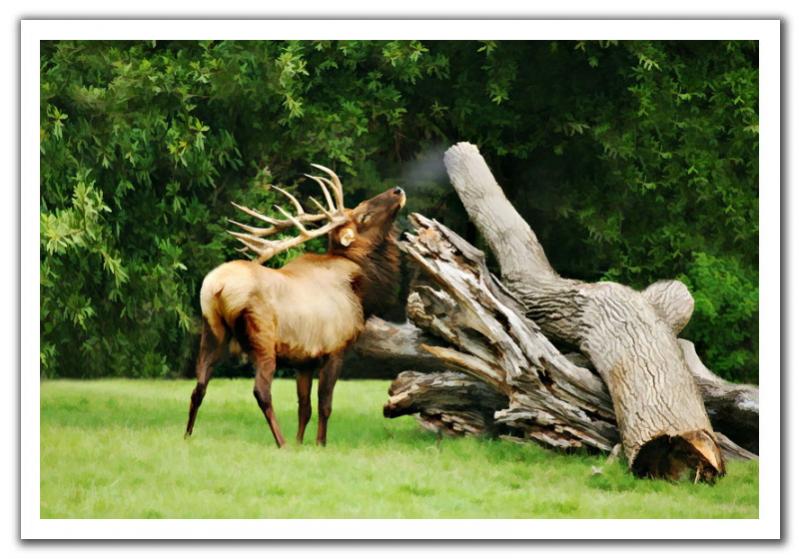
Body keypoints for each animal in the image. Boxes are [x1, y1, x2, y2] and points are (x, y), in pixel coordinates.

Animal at [184, 164, 405, 447]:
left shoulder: (305, 361)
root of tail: (217, 288)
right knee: (261, 390)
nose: (397, 190)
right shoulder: (335, 349)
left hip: (211, 331)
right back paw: (281, 442)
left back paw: (187, 435)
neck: (362, 290)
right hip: (262, 338)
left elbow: (304, 406)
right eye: (363, 215)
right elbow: (324, 405)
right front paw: (320, 444)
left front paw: (302, 442)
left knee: (198, 387)